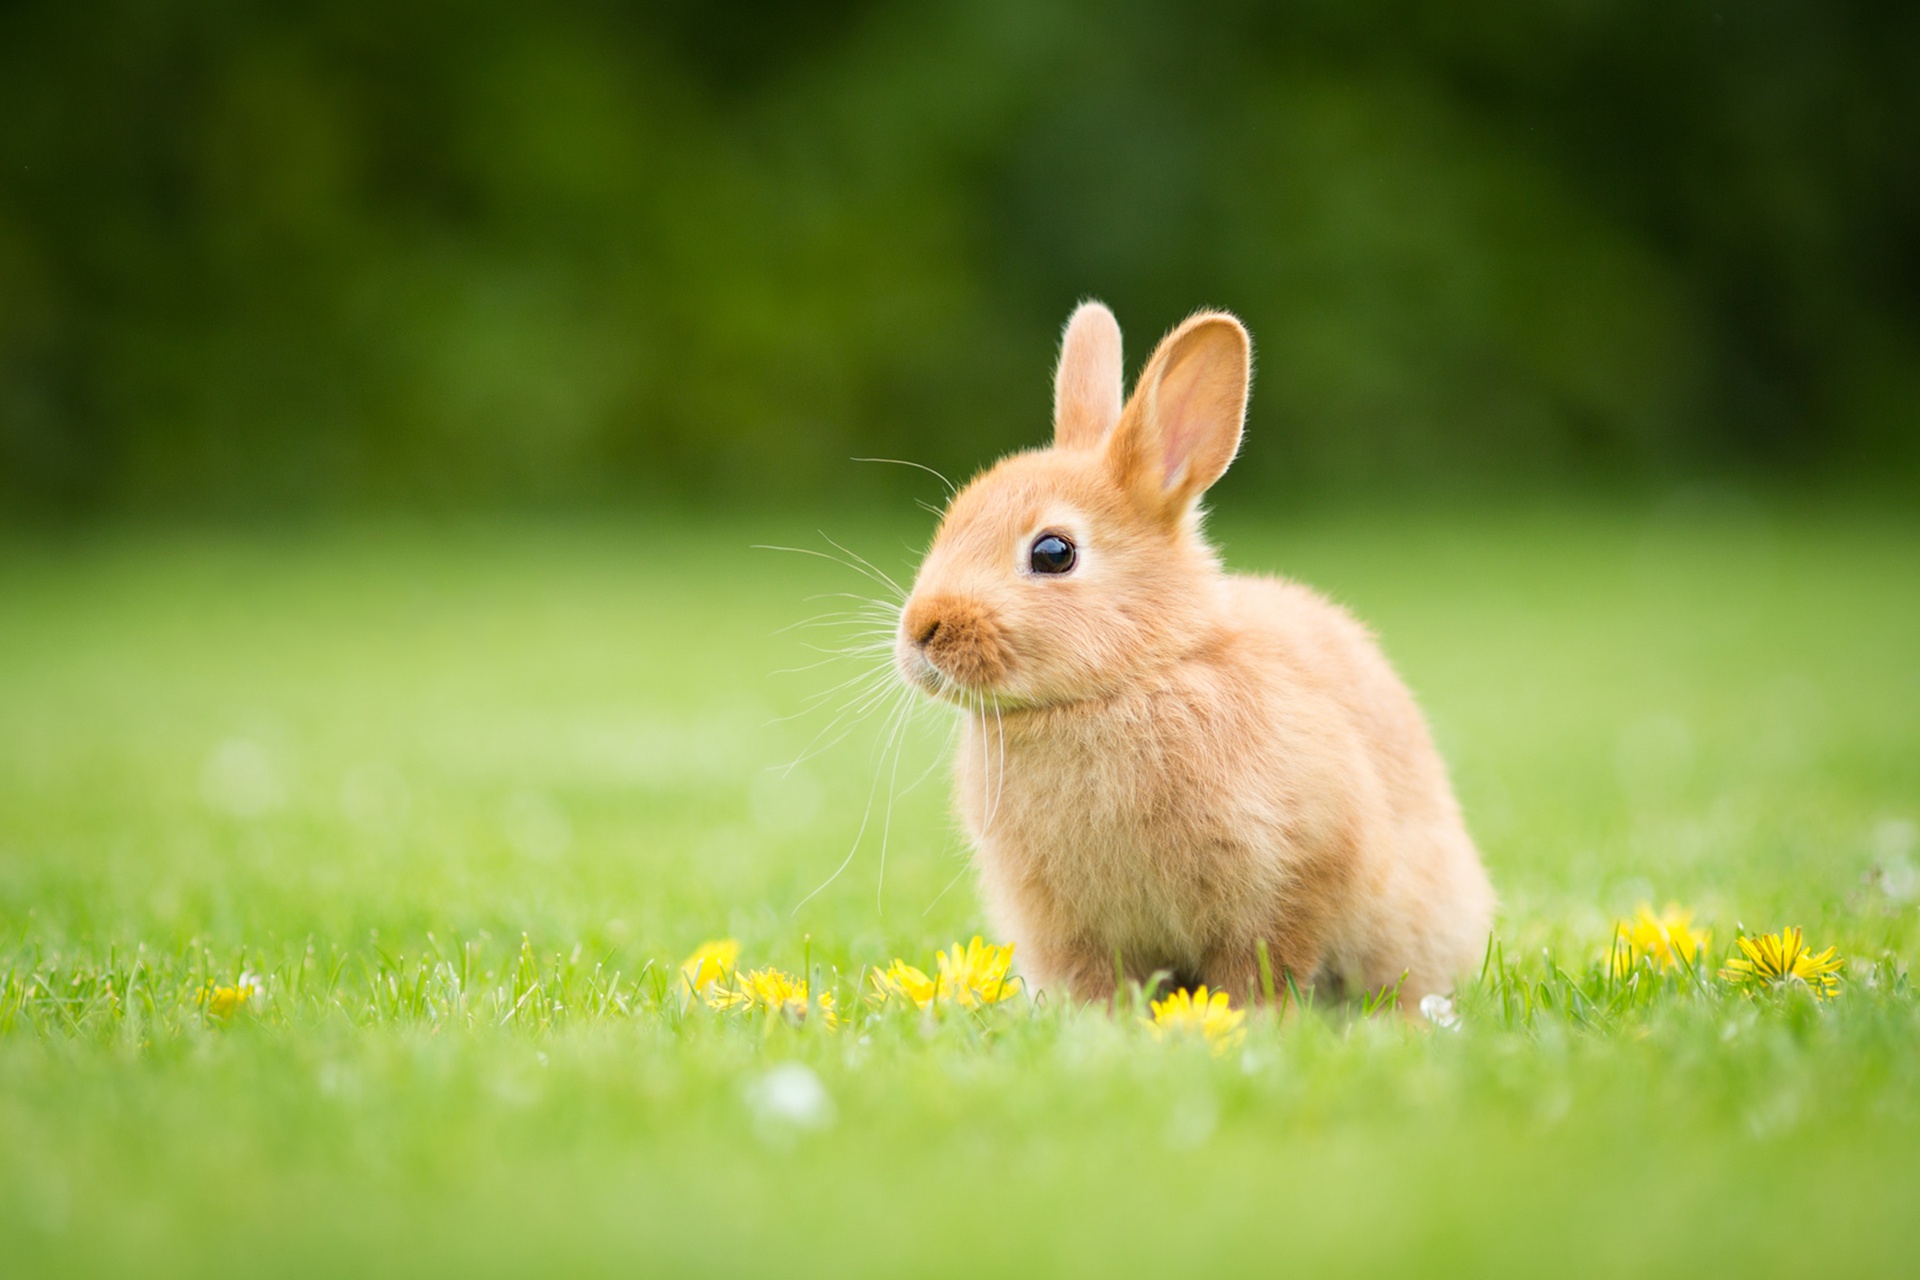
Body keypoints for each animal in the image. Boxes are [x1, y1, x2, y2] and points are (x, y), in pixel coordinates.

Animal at [890, 303, 1489, 1013]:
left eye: (1054, 553)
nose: (921, 631)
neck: (1132, 679)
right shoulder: (1071, 929)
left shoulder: (1288, 881)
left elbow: (1260, 967)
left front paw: (1251, 1020)